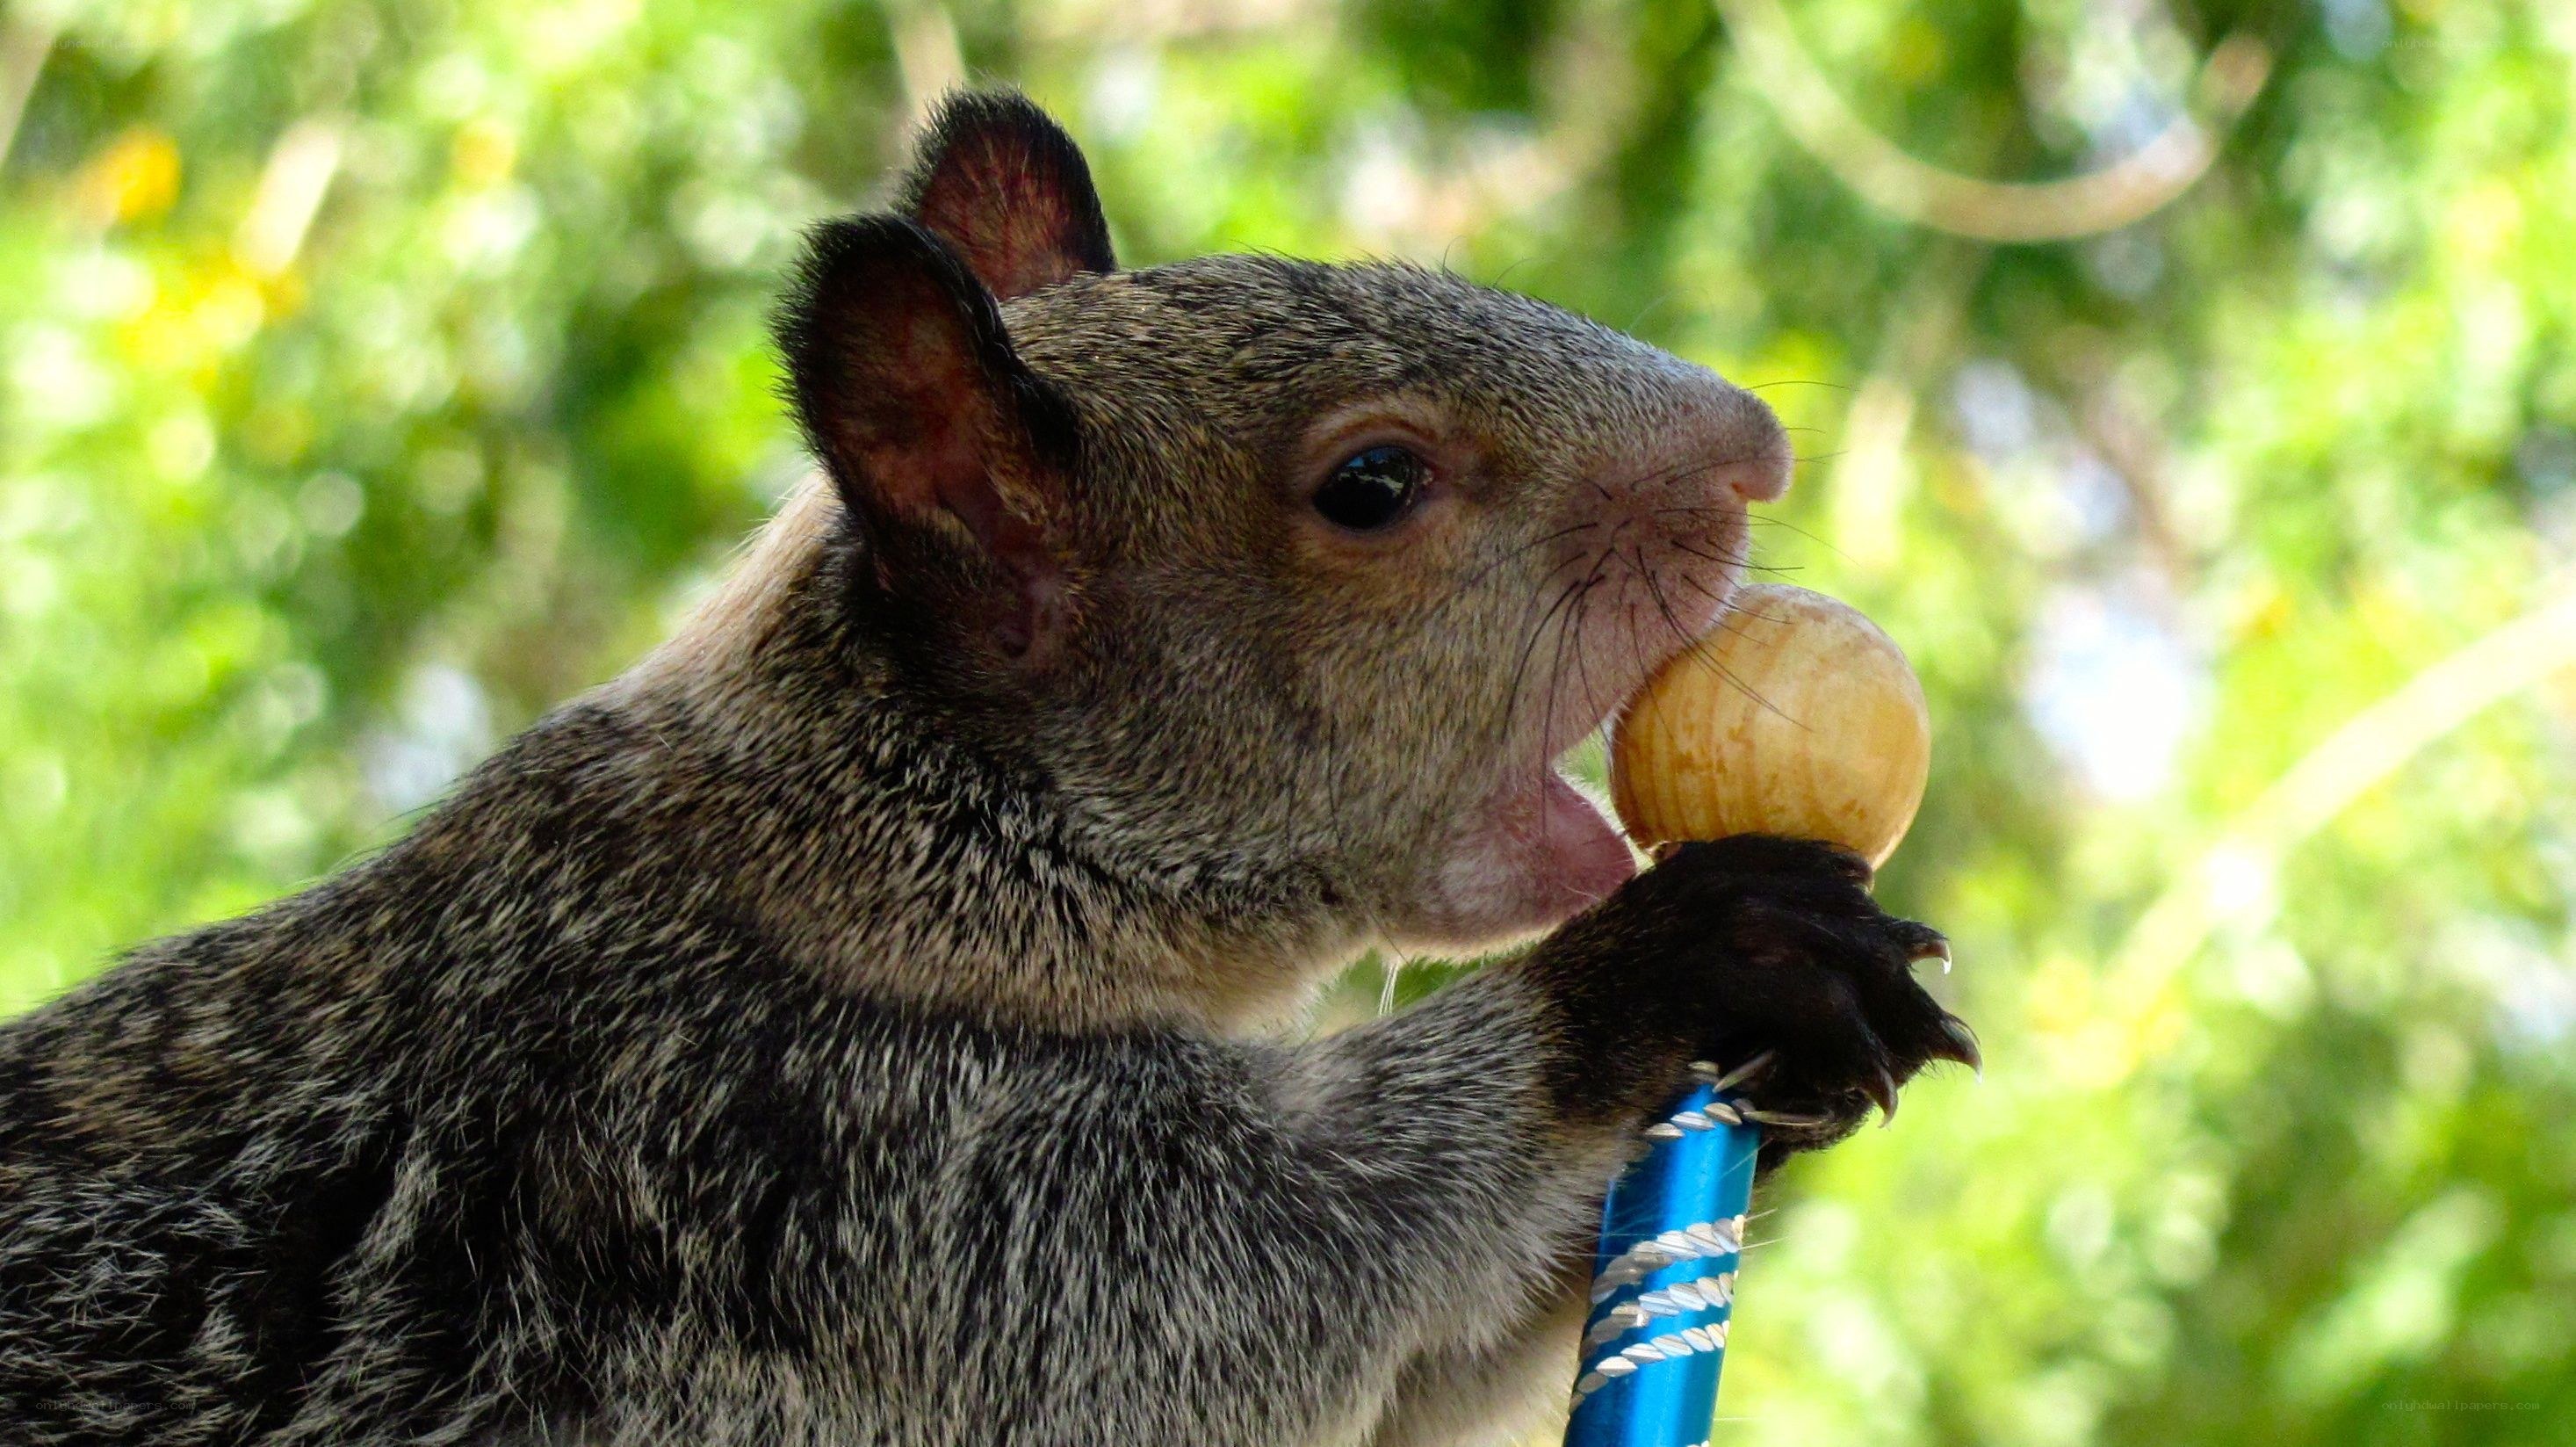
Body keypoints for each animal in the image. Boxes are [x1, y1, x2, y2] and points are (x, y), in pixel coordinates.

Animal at [0, 92, 1974, 1447]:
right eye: (1371, 484)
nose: (1754, 445)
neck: (844, 859)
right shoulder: (800, 1180)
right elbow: (1270, 1273)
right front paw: (1684, 964)